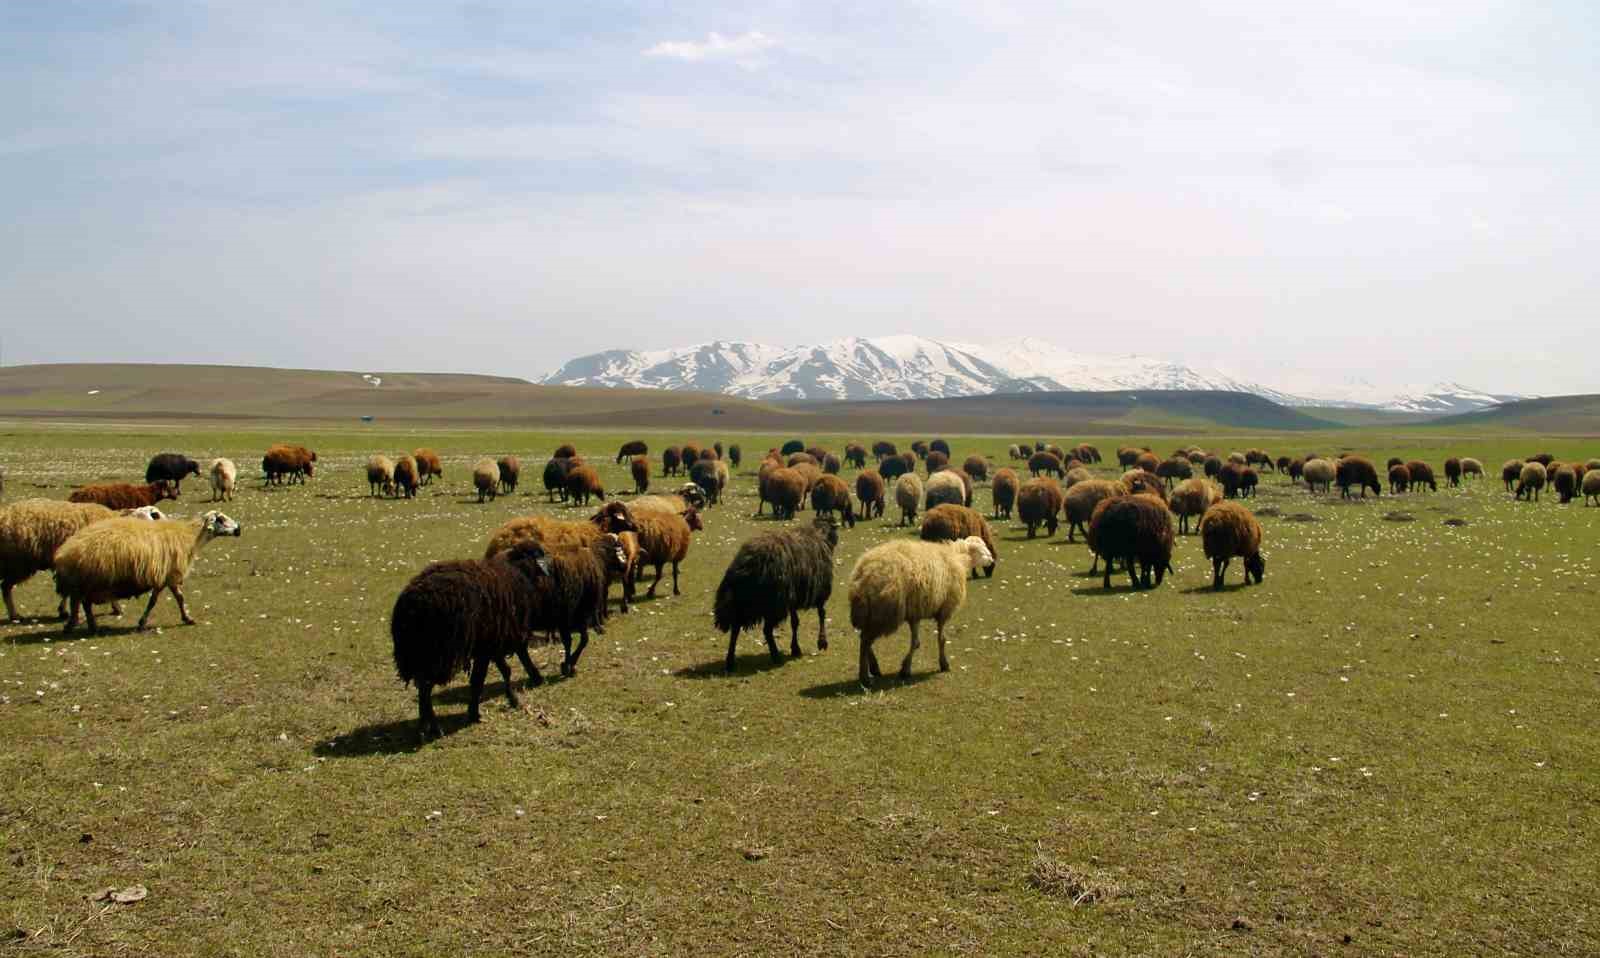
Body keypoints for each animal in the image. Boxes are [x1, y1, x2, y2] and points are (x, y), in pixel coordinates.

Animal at [54, 508, 241, 636]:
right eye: (221, 519)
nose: (239, 529)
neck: (190, 537)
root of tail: (64, 553)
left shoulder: (164, 577)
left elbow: (170, 598)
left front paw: (185, 618)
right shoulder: (169, 576)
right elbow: (166, 600)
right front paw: (145, 622)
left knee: (83, 604)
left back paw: (88, 626)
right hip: (89, 582)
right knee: (82, 603)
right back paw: (82, 626)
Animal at [393, 540, 556, 742]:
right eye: (539, 554)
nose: (552, 563)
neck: (517, 572)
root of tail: (410, 604)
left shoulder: (493, 642)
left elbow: (505, 670)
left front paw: (512, 698)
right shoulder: (492, 644)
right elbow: (479, 680)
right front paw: (474, 714)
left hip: (420, 654)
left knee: (422, 687)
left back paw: (426, 726)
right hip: (437, 654)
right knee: (425, 688)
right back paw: (431, 727)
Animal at [716, 518, 838, 674]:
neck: (821, 535)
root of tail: (745, 565)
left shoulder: (792, 600)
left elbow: (795, 622)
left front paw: (795, 648)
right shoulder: (820, 592)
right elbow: (822, 614)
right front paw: (822, 642)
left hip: (743, 605)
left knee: (735, 629)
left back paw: (730, 662)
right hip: (773, 605)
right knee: (767, 630)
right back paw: (775, 656)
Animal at [844, 537, 992, 684]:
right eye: (980, 550)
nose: (992, 560)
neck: (958, 558)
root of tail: (863, 576)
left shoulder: (915, 614)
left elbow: (915, 642)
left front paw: (906, 668)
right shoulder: (944, 611)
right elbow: (941, 639)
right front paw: (943, 664)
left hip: (871, 615)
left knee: (864, 638)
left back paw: (874, 668)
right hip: (885, 613)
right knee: (865, 640)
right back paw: (864, 676)